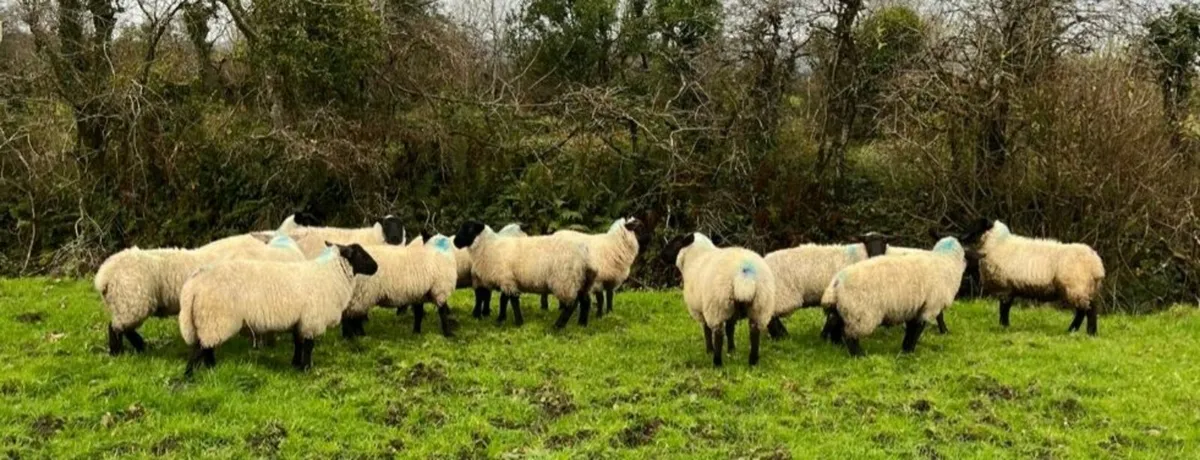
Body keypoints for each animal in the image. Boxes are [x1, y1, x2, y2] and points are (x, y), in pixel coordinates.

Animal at [179, 244, 379, 376]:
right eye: (361, 254)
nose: (376, 267)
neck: (329, 274)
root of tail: (193, 286)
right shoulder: (311, 320)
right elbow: (309, 346)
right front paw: (307, 368)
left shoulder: (300, 320)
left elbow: (298, 343)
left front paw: (296, 365)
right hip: (215, 318)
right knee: (201, 348)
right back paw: (193, 375)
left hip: (207, 320)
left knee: (204, 347)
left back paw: (208, 370)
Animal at [454, 221, 596, 328]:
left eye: (469, 228)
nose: (455, 242)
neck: (490, 247)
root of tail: (584, 253)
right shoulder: (508, 279)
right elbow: (504, 300)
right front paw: (501, 319)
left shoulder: (507, 279)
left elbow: (512, 301)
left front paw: (518, 322)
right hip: (580, 280)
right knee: (585, 301)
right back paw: (582, 324)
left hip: (564, 279)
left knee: (570, 304)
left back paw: (558, 326)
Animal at [668, 232, 775, 367]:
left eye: (676, 242)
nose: (662, 255)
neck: (695, 257)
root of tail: (744, 275)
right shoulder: (731, 311)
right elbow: (730, 329)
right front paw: (731, 349)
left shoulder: (702, 309)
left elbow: (707, 330)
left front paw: (709, 350)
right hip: (759, 305)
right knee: (754, 332)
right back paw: (753, 361)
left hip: (717, 305)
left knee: (718, 334)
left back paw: (717, 362)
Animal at [820, 237, 967, 357]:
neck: (945, 262)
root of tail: (836, 282)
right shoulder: (929, 307)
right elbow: (917, 330)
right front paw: (908, 352)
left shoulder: (916, 307)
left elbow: (911, 330)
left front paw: (905, 350)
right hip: (861, 313)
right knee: (850, 336)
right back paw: (860, 356)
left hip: (845, 309)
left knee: (835, 323)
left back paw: (836, 345)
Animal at [958, 219, 1106, 335]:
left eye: (975, 226)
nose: (960, 237)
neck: (997, 245)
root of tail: (1096, 265)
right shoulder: (1011, 288)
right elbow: (1006, 307)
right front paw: (1005, 326)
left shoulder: (1005, 287)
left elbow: (1004, 308)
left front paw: (1003, 326)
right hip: (1087, 288)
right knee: (1089, 309)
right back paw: (1082, 331)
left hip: (1077, 287)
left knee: (1086, 310)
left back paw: (1082, 332)